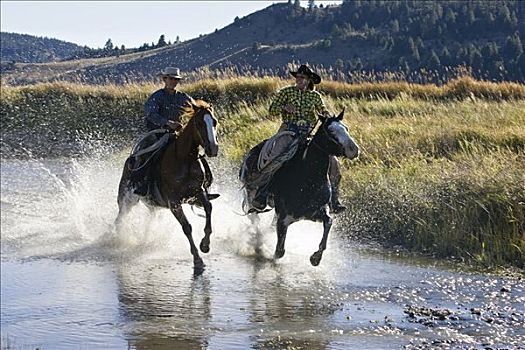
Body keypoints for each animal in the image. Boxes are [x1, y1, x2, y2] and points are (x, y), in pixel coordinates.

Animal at [115, 100, 218, 272]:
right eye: (199, 123)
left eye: (214, 122)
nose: (213, 149)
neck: (184, 160)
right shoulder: (173, 202)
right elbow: (187, 227)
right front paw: (197, 259)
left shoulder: (198, 192)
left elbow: (209, 209)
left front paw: (205, 245)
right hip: (127, 199)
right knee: (120, 218)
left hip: (153, 205)